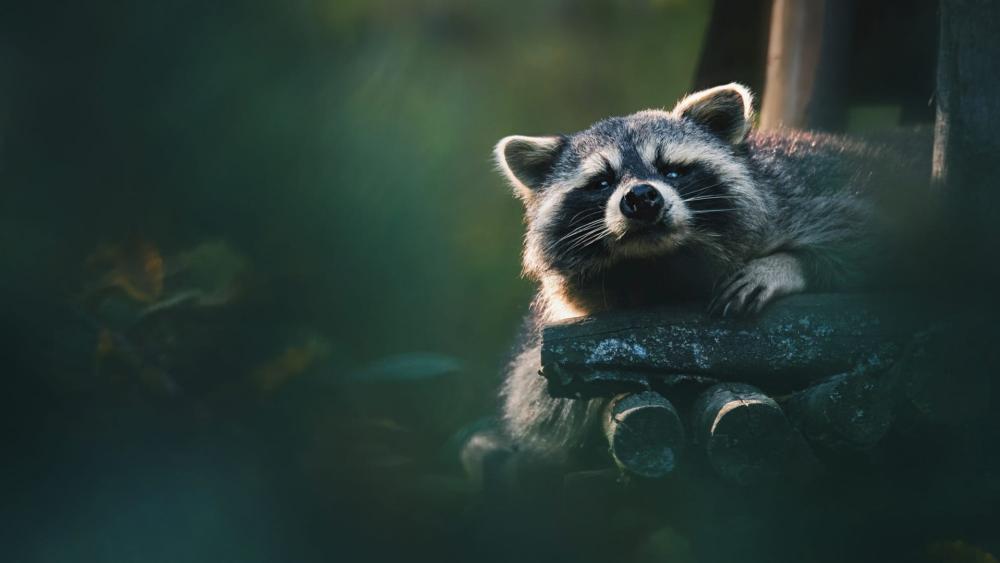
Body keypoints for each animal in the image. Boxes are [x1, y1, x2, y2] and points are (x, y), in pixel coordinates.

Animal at [494, 83, 930, 462]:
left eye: (672, 170)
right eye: (602, 182)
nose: (641, 197)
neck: (663, 260)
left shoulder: (808, 190)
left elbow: (884, 244)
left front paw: (785, 264)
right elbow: (537, 403)